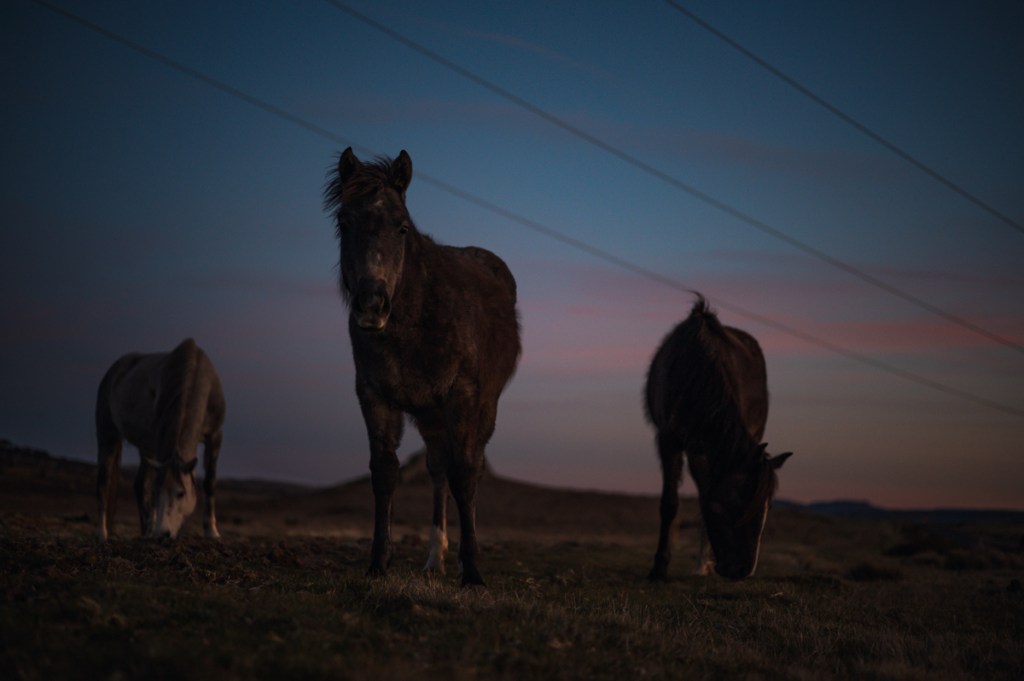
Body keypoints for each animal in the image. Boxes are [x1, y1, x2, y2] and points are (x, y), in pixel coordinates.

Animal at [95, 338, 226, 541]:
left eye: (181, 493)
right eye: (158, 493)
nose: (162, 534)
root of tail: (113, 372)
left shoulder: (215, 436)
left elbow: (210, 482)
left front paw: (212, 531)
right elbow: (150, 486)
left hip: (145, 448)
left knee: (140, 484)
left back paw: (145, 531)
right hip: (107, 436)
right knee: (104, 482)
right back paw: (102, 533)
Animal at [325, 147, 521, 586]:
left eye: (401, 227)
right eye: (344, 223)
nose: (371, 305)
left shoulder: (463, 396)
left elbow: (465, 473)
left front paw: (473, 573)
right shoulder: (374, 396)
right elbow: (385, 472)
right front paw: (378, 564)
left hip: (482, 409)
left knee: (467, 468)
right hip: (431, 418)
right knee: (437, 471)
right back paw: (434, 560)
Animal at [644, 295, 791, 580]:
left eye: (767, 508)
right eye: (734, 503)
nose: (742, 571)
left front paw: (702, 563)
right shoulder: (670, 441)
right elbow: (670, 503)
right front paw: (659, 568)